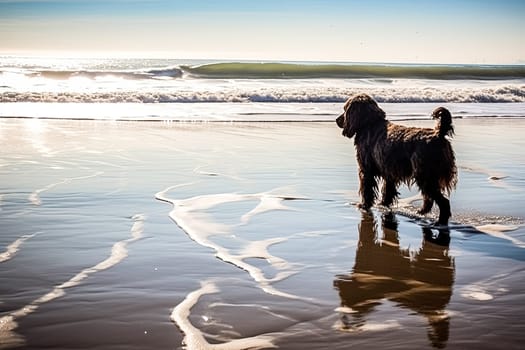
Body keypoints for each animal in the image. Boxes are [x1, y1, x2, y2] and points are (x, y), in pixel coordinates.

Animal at [336, 93, 454, 224]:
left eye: (345, 109)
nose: (337, 120)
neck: (370, 124)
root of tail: (439, 134)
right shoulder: (389, 171)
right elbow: (388, 191)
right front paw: (383, 204)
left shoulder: (366, 170)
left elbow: (367, 190)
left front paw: (364, 205)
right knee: (429, 198)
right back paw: (422, 212)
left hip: (425, 175)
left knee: (442, 201)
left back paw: (440, 221)